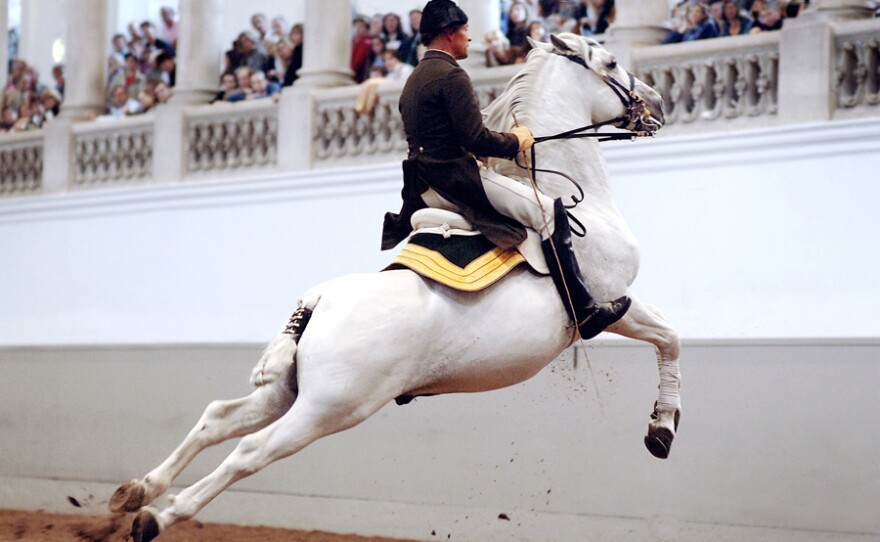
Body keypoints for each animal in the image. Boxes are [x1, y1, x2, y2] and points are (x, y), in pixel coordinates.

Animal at [111, 34, 680, 542]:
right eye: (611, 62)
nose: (655, 102)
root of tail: (318, 299)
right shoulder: (613, 301)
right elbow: (668, 336)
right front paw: (663, 429)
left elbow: (667, 335)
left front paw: (660, 427)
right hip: (331, 408)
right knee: (250, 452)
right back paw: (156, 516)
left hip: (289, 390)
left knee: (217, 419)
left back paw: (137, 491)